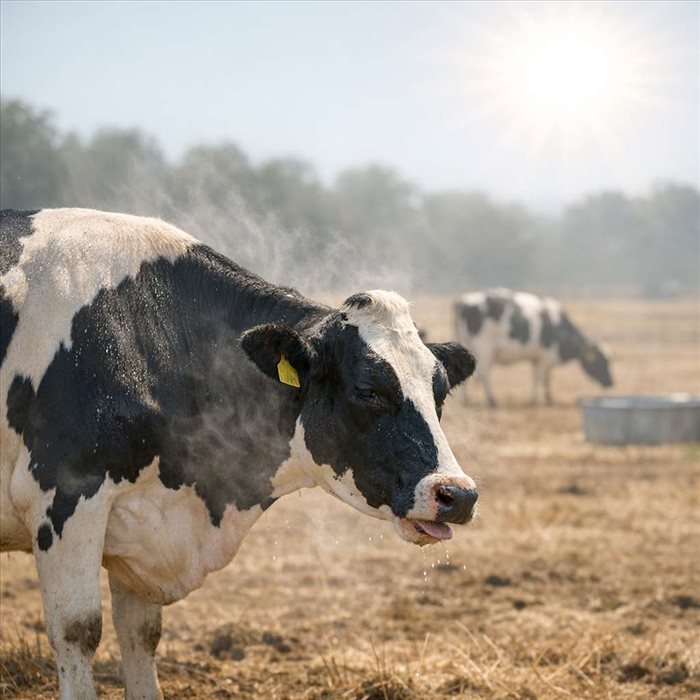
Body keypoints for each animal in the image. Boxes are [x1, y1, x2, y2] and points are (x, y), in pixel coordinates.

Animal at [0, 208, 478, 699]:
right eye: (368, 390)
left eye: (441, 392)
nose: (457, 495)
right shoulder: (64, 495)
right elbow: (78, 629)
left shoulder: (140, 524)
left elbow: (140, 633)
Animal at [454, 288, 612, 407]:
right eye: (601, 362)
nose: (611, 382)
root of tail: (463, 301)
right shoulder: (544, 358)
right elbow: (541, 379)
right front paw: (538, 399)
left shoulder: (537, 359)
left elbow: (542, 378)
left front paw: (545, 399)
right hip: (484, 349)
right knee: (484, 374)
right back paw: (492, 400)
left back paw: (467, 401)